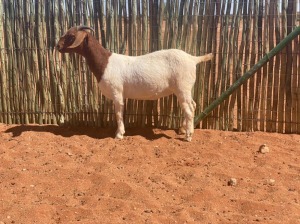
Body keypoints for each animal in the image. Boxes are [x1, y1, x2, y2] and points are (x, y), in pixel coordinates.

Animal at [56, 25, 213, 142]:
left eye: (71, 36)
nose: (57, 46)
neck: (105, 62)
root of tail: (193, 59)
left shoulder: (117, 92)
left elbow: (118, 113)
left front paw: (119, 134)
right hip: (185, 89)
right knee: (193, 105)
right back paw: (184, 129)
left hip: (182, 87)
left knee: (189, 109)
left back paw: (188, 136)